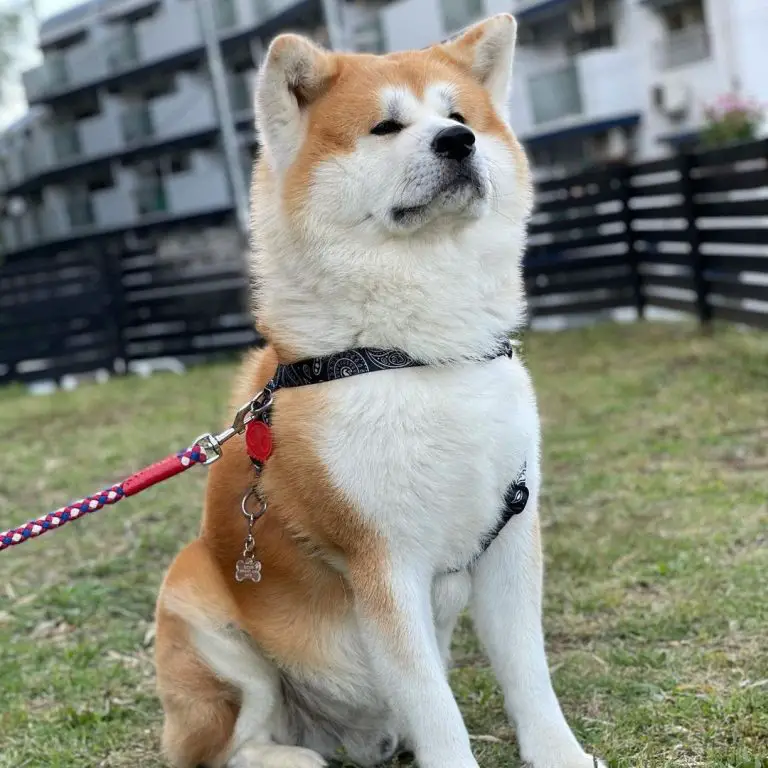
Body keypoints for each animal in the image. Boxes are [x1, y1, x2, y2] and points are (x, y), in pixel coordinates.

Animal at [154, 13, 608, 768]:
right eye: (385, 127)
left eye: (461, 117)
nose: (457, 142)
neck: (420, 356)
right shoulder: (384, 565)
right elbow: (436, 708)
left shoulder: (511, 537)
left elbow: (530, 676)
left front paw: (561, 755)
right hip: (195, 601)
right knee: (228, 745)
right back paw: (289, 758)